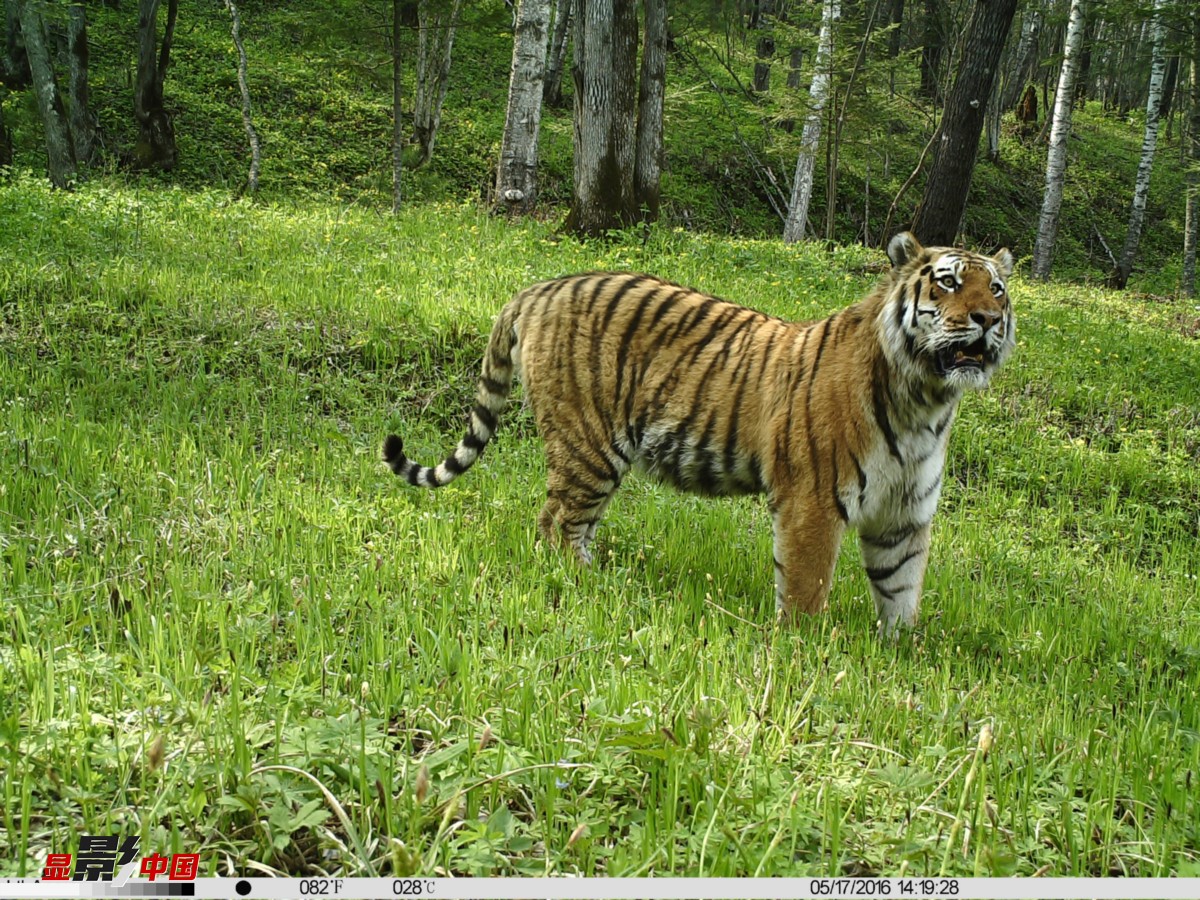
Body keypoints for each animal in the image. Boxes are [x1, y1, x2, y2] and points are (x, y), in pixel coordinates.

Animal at [384, 232, 1012, 633]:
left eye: (997, 289)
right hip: (588, 447)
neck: (926, 401)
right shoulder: (812, 502)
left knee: (570, 525)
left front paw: (900, 654)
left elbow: (901, 591)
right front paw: (803, 650)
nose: (987, 319)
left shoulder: (903, 514)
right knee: (556, 524)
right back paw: (592, 587)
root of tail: (538, 288)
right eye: (948, 282)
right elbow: (806, 587)